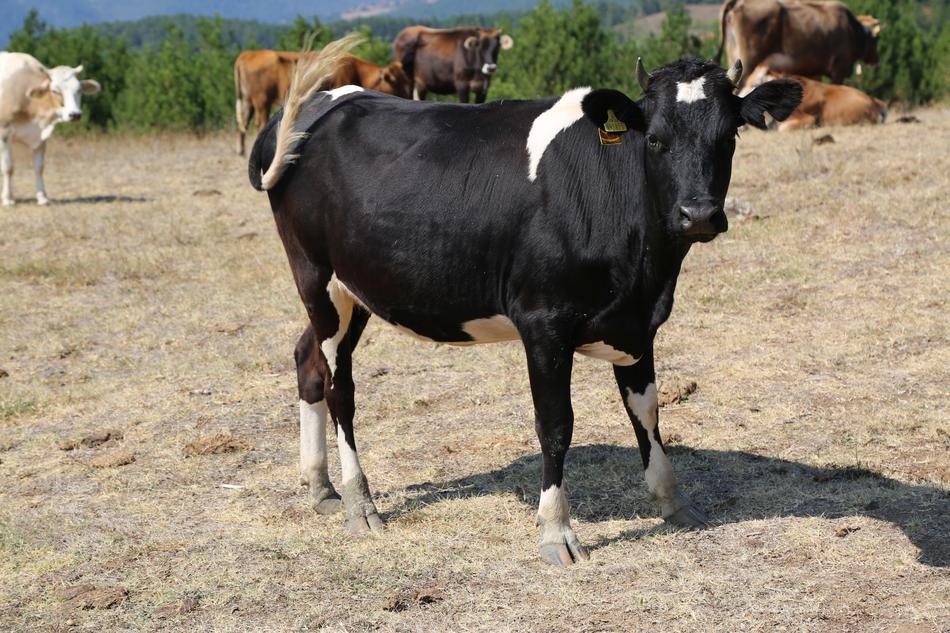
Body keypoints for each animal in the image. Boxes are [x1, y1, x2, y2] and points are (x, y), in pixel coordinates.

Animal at [0, 52, 100, 207]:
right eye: (55, 90)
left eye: (79, 90)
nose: (75, 114)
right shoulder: (4, 132)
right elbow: (8, 167)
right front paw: (7, 199)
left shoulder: (41, 136)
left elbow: (39, 167)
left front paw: (42, 198)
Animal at [234, 50, 410, 155]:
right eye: (395, 82)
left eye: (406, 79)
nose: (408, 96)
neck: (356, 70)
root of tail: (248, 54)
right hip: (261, 101)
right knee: (259, 123)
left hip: (249, 101)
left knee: (243, 122)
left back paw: (241, 151)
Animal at [717, 0, 881, 89]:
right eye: (876, 39)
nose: (876, 61)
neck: (852, 30)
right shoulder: (840, 67)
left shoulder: (814, 70)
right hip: (748, 61)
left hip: (733, 56)